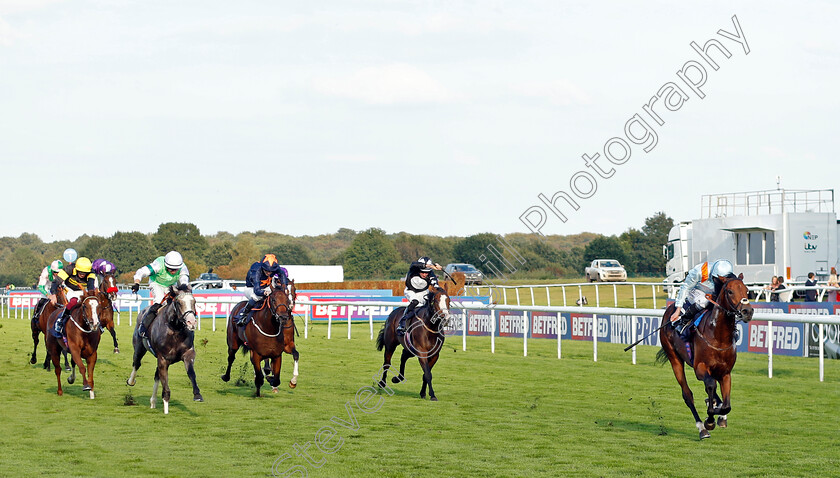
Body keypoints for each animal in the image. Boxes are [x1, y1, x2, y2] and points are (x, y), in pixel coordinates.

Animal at [125, 284, 203, 414]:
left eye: (194, 301)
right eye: (179, 302)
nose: (191, 322)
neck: (175, 328)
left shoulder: (188, 353)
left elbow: (191, 373)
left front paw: (197, 395)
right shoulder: (163, 359)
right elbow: (165, 384)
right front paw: (166, 409)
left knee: (157, 375)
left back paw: (153, 401)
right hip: (139, 347)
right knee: (137, 363)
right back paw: (131, 381)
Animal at [656, 272, 756, 440]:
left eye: (747, 290)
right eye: (730, 291)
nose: (747, 311)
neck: (718, 336)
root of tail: (669, 309)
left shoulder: (725, 372)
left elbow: (727, 406)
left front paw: (719, 413)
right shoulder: (700, 368)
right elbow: (710, 385)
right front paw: (709, 420)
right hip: (674, 359)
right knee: (688, 394)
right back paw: (702, 428)